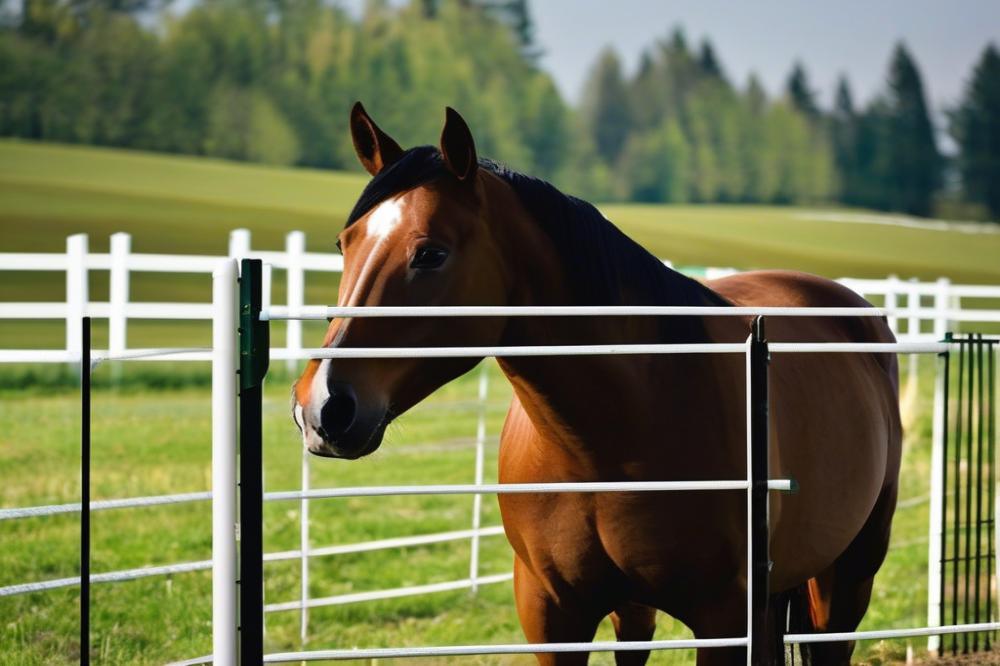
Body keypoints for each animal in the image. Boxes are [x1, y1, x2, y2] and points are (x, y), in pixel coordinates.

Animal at [292, 101, 904, 660]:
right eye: (344, 244)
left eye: (430, 253)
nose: (322, 406)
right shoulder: (551, 615)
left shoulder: (727, 619)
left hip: (847, 577)